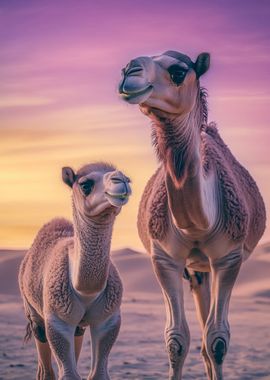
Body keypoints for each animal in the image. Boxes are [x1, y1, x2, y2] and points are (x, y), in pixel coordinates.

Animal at [18, 163, 131, 380]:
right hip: (31, 305)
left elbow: (98, 374)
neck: (85, 289)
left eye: (129, 179)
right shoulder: (58, 319)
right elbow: (68, 373)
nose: (121, 180)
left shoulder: (109, 318)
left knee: (78, 332)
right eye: (85, 184)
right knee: (40, 338)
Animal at [118, 51, 266, 380]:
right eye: (125, 68)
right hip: (196, 269)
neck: (198, 225)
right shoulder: (164, 258)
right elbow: (176, 339)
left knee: (209, 335)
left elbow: (218, 339)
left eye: (177, 71)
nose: (128, 71)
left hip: (209, 265)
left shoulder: (229, 258)